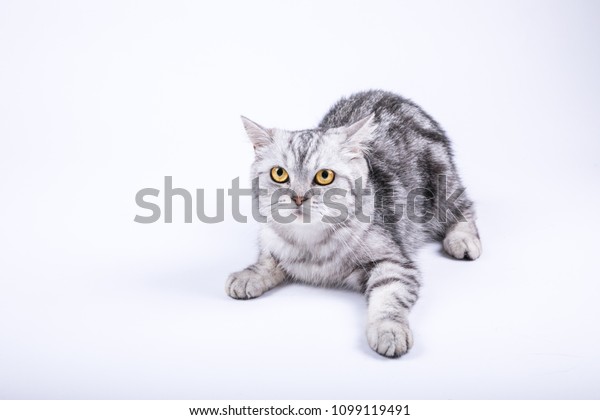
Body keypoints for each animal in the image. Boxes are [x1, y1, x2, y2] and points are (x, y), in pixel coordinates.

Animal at [225, 89, 482, 358]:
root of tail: (394, 96)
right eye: (279, 174)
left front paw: (389, 330)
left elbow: (389, 298)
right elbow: (267, 260)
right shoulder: (272, 241)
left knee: (464, 208)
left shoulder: (394, 262)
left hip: (442, 188)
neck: (310, 244)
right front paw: (249, 275)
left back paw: (462, 240)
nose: (298, 197)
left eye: (324, 176)